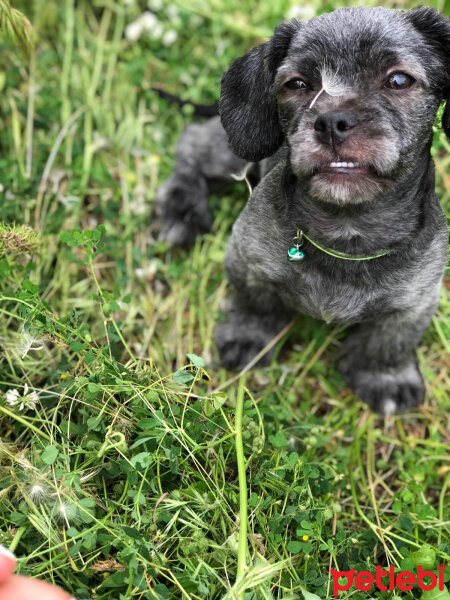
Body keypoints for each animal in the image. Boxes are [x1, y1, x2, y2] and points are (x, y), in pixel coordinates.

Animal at [154, 4, 446, 414]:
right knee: (192, 144)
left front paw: (385, 377)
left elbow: (389, 341)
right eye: (296, 84)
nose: (332, 122)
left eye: (399, 80)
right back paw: (182, 210)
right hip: (233, 154)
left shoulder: (417, 300)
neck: (347, 227)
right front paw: (248, 337)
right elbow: (254, 306)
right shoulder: (246, 259)